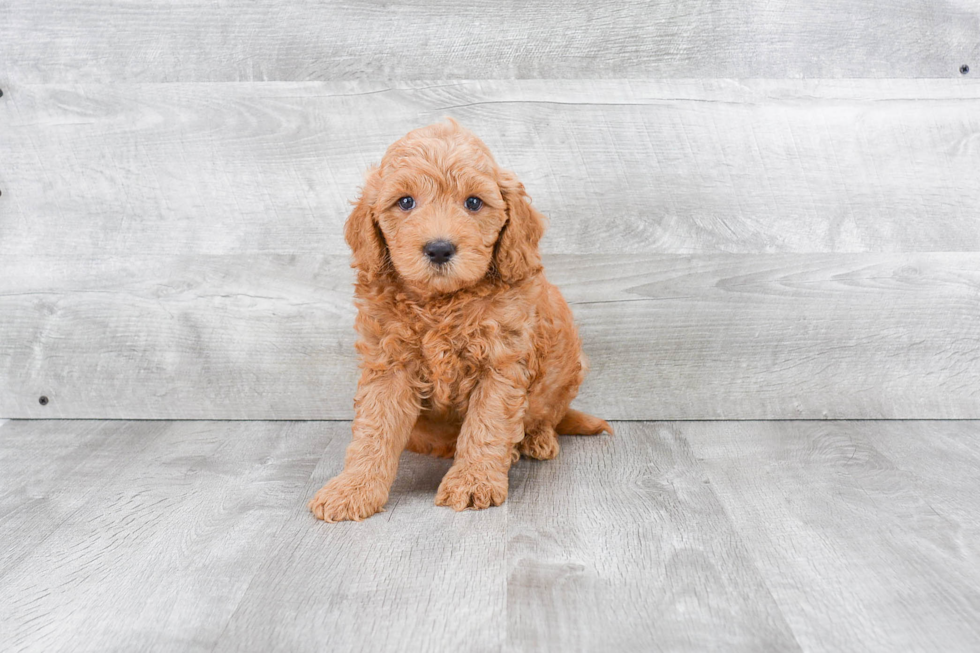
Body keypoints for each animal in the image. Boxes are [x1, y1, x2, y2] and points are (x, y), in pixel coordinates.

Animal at [308, 119, 612, 524]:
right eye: (405, 202)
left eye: (473, 203)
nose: (439, 248)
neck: (442, 302)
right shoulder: (388, 362)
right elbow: (375, 429)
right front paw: (353, 488)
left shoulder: (500, 362)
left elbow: (487, 425)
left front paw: (473, 481)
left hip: (569, 369)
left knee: (547, 415)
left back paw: (535, 439)